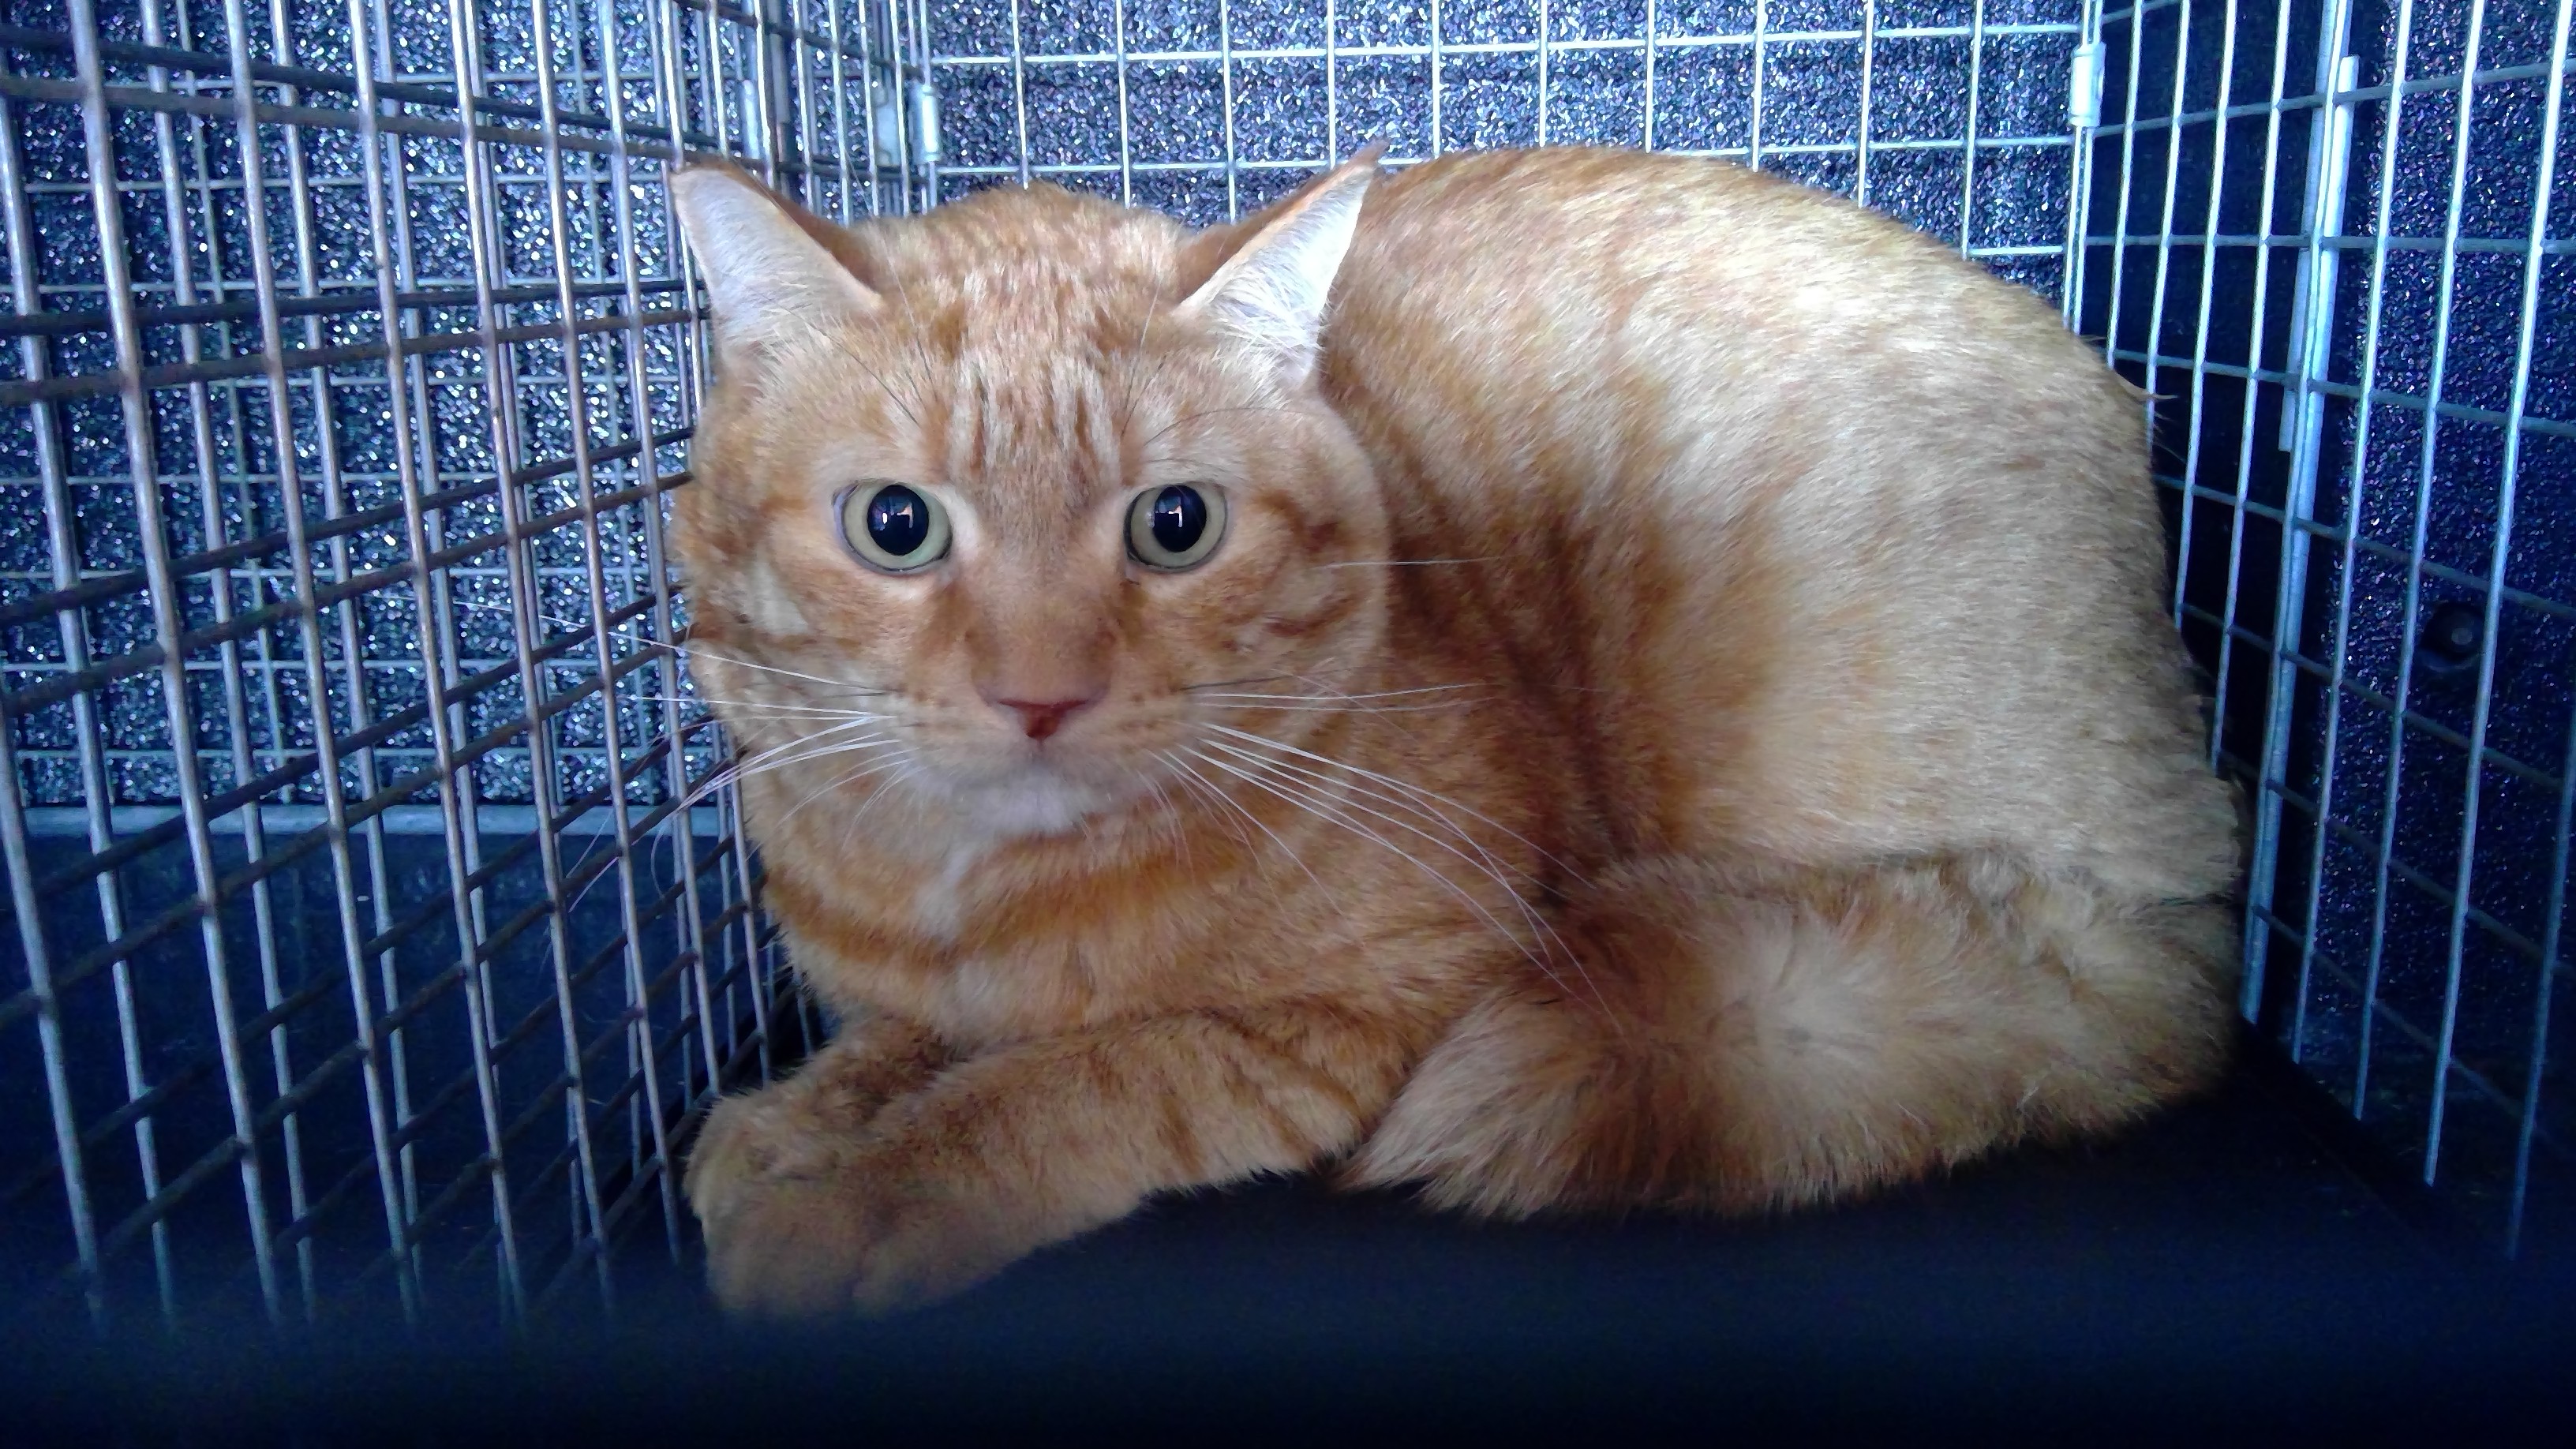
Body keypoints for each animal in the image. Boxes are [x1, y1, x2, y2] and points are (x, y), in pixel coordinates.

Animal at [666, 144, 2240, 1316]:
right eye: (896, 526)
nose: (1038, 694)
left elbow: (1059, 1082)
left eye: (1174, 527)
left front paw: (865, 1195)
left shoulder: (1370, 1006)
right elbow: (896, 1042)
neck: (983, 899)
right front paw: (802, 1118)